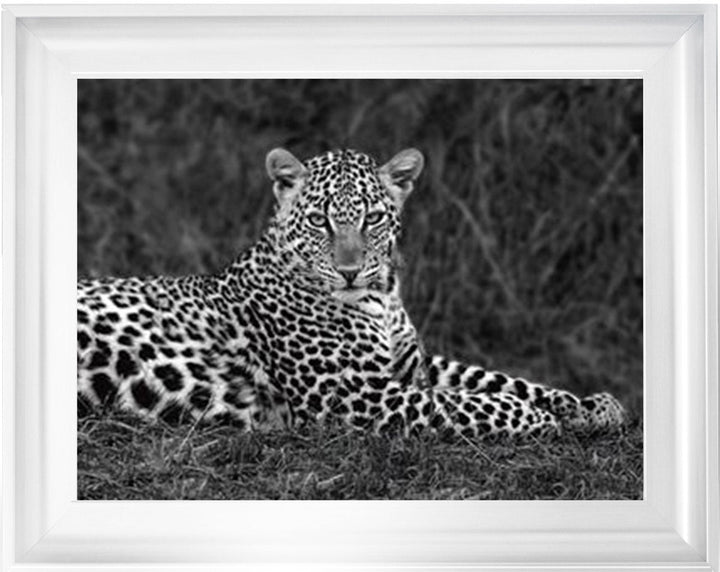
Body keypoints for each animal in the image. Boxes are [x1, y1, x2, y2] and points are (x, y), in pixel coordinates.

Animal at [77, 147, 627, 440]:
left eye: (373, 218)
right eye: (320, 220)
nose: (349, 271)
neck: (383, 296)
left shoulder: (413, 366)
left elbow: (493, 379)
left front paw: (590, 405)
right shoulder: (351, 395)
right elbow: (467, 404)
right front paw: (540, 417)